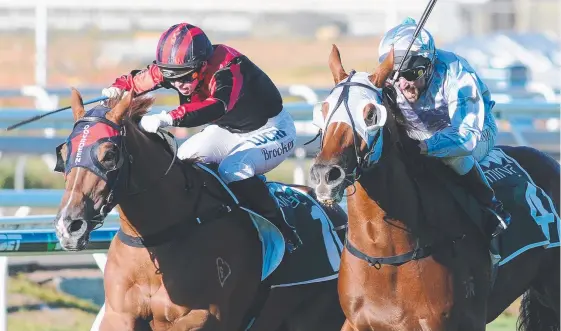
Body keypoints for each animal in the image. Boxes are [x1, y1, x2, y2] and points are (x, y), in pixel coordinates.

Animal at [308, 44, 556, 331]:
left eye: (371, 114)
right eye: (323, 111)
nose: (326, 174)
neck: (384, 254)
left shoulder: (456, 321)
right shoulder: (356, 321)